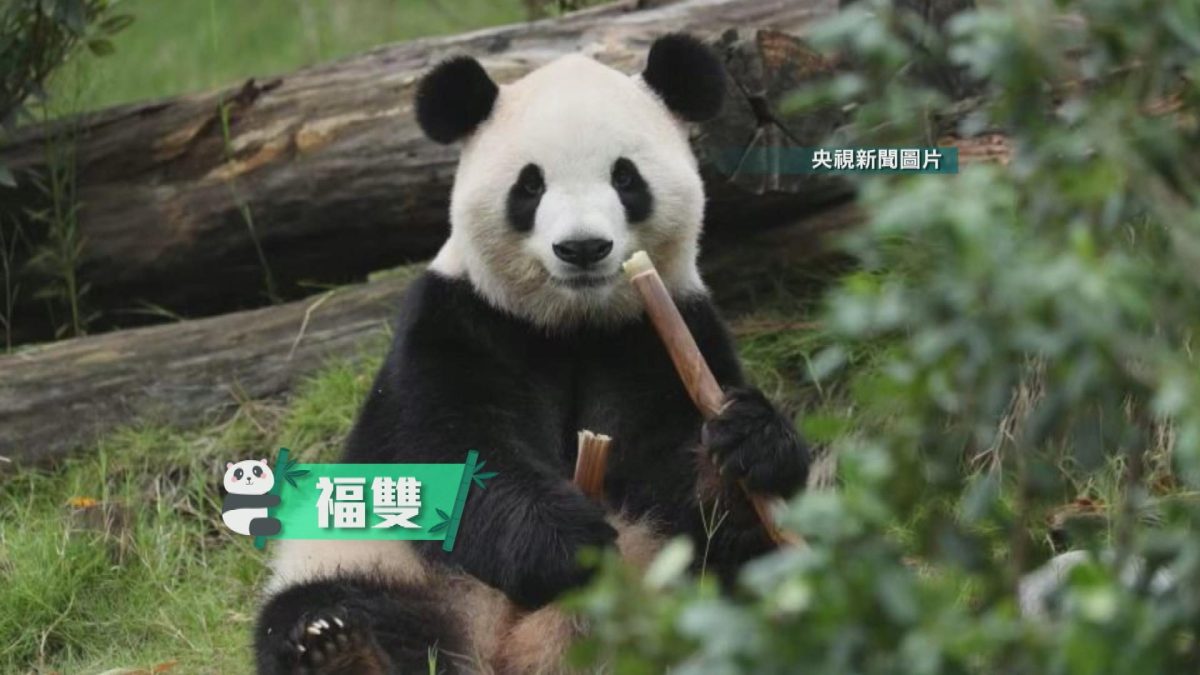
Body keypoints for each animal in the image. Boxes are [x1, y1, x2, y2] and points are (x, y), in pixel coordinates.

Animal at [255, 34, 810, 675]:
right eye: (530, 186)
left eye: (626, 178)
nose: (583, 248)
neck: (573, 324)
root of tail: (507, 648)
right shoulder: (458, 323)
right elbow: (454, 449)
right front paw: (565, 544)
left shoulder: (660, 332)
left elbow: (679, 476)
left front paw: (749, 441)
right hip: (373, 556)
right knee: (326, 606)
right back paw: (339, 647)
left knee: (746, 574)